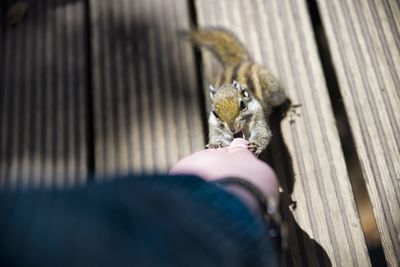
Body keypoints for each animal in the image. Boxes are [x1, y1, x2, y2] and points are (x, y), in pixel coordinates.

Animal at [191, 27, 288, 155]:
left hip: (273, 89)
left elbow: (262, 133)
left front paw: (255, 145)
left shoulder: (258, 116)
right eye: (215, 113)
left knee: (281, 98)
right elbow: (218, 136)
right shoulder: (214, 125)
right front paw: (215, 144)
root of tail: (237, 63)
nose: (233, 129)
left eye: (242, 105)